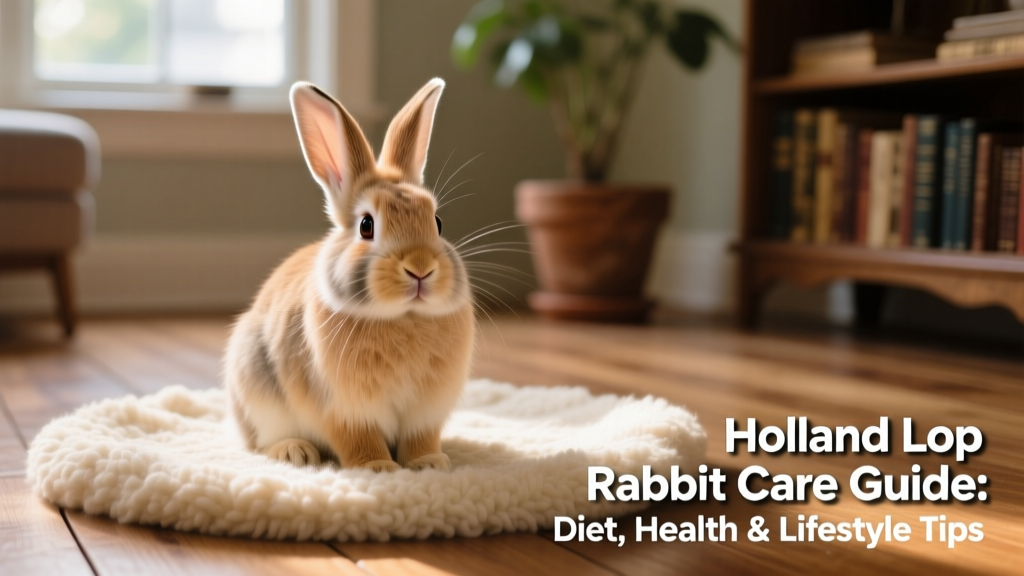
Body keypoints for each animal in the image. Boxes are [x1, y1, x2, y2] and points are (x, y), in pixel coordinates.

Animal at [223, 78, 474, 473]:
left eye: (437, 222)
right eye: (366, 226)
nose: (420, 268)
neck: (402, 317)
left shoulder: (424, 413)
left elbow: (420, 438)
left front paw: (430, 464)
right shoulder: (345, 411)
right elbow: (359, 439)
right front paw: (378, 467)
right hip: (255, 387)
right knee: (262, 442)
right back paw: (295, 452)